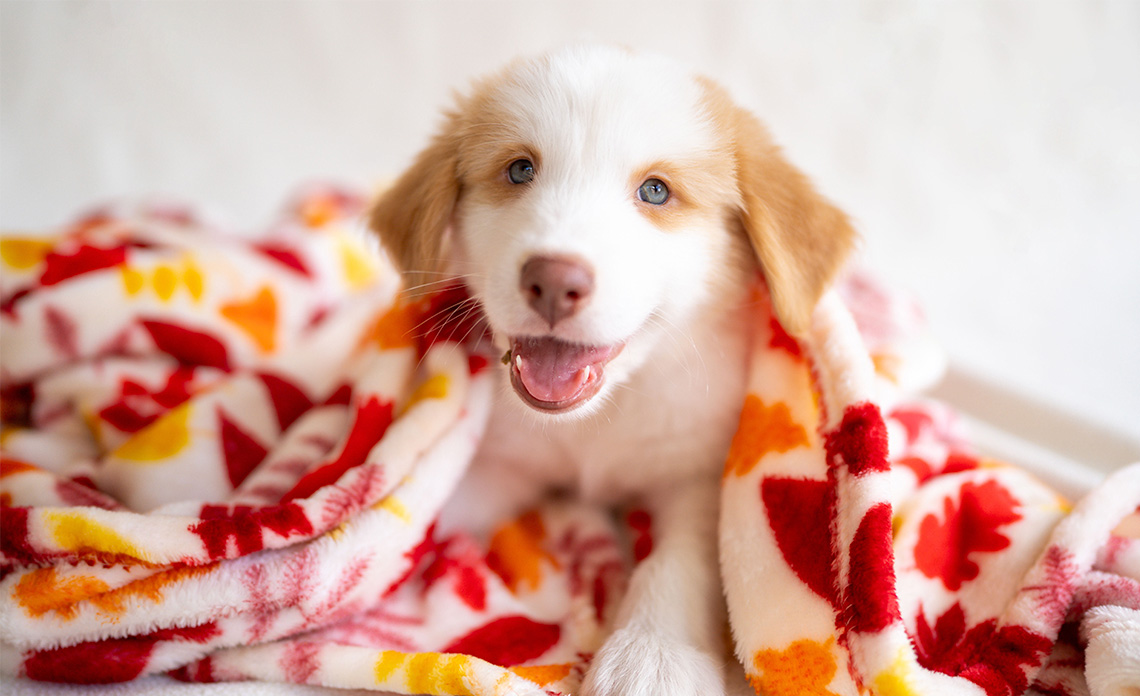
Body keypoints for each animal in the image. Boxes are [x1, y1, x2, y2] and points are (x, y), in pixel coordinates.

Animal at [373, 43, 857, 696]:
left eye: (655, 191)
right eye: (519, 171)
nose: (554, 281)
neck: (600, 422)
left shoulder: (698, 474)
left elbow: (681, 559)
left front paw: (651, 656)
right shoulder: (499, 462)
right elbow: (436, 508)